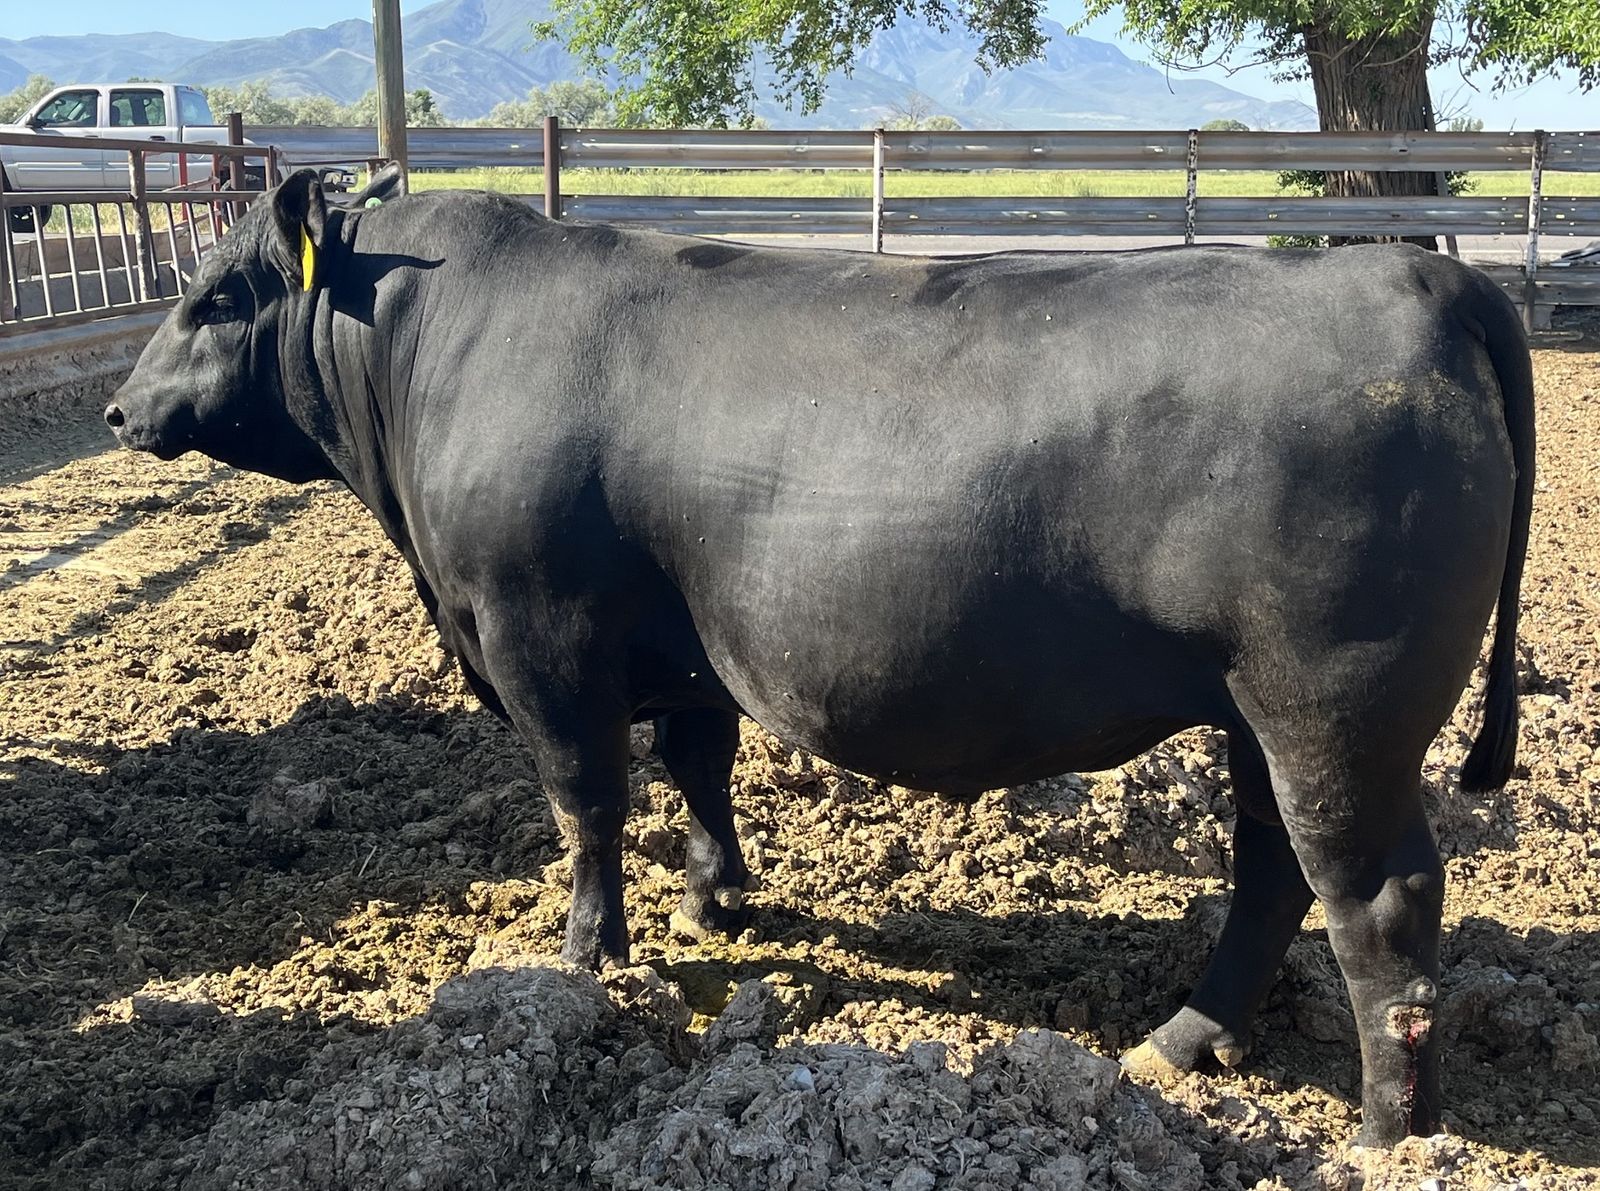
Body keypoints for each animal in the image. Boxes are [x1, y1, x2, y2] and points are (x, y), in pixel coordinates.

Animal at [106, 166, 1533, 1147]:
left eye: (217, 295)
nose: (119, 409)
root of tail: (1411, 276)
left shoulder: (536, 635)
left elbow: (587, 801)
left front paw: (588, 955)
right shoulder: (684, 644)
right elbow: (697, 765)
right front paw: (718, 897)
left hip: (1332, 713)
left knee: (1377, 905)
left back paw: (1391, 1136)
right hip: (1254, 713)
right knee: (1271, 877)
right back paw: (1181, 1042)